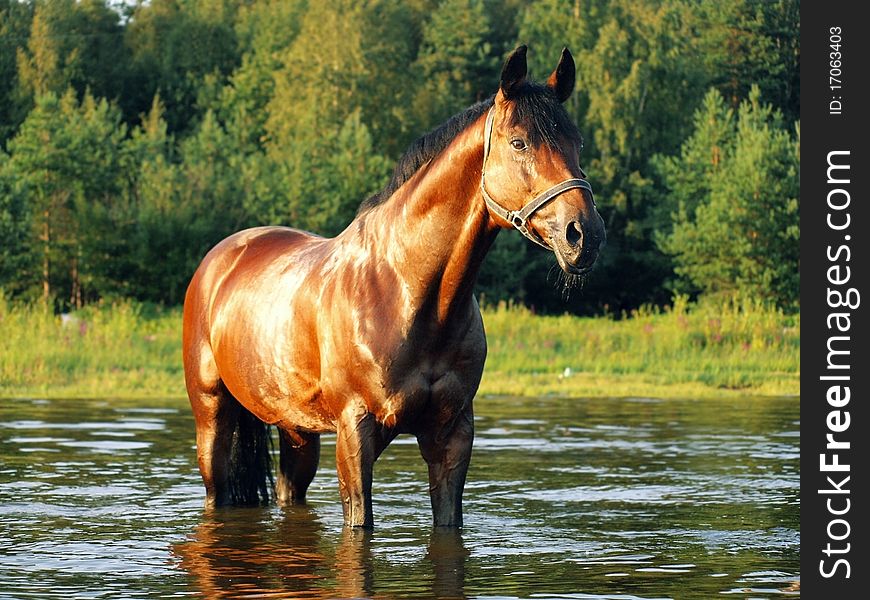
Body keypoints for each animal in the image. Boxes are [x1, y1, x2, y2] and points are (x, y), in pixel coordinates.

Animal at [182, 44, 608, 528]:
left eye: (576, 143)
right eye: (519, 142)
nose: (584, 235)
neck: (405, 292)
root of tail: (221, 258)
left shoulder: (452, 435)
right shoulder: (356, 432)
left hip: (297, 430)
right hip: (212, 418)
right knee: (216, 490)